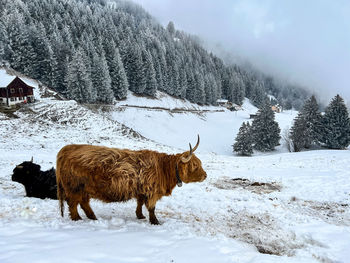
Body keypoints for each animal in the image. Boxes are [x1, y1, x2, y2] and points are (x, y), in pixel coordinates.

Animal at [56, 136, 206, 225]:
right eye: (195, 165)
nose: (205, 175)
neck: (163, 169)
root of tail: (66, 149)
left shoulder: (142, 191)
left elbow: (140, 203)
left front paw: (140, 216)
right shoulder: (152, 191)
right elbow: (151, 208)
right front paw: (155, 221)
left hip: (84, 189)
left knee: (83, 203)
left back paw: (93, 217)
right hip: (75, 187)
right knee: (73, 204)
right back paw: (77, 219)